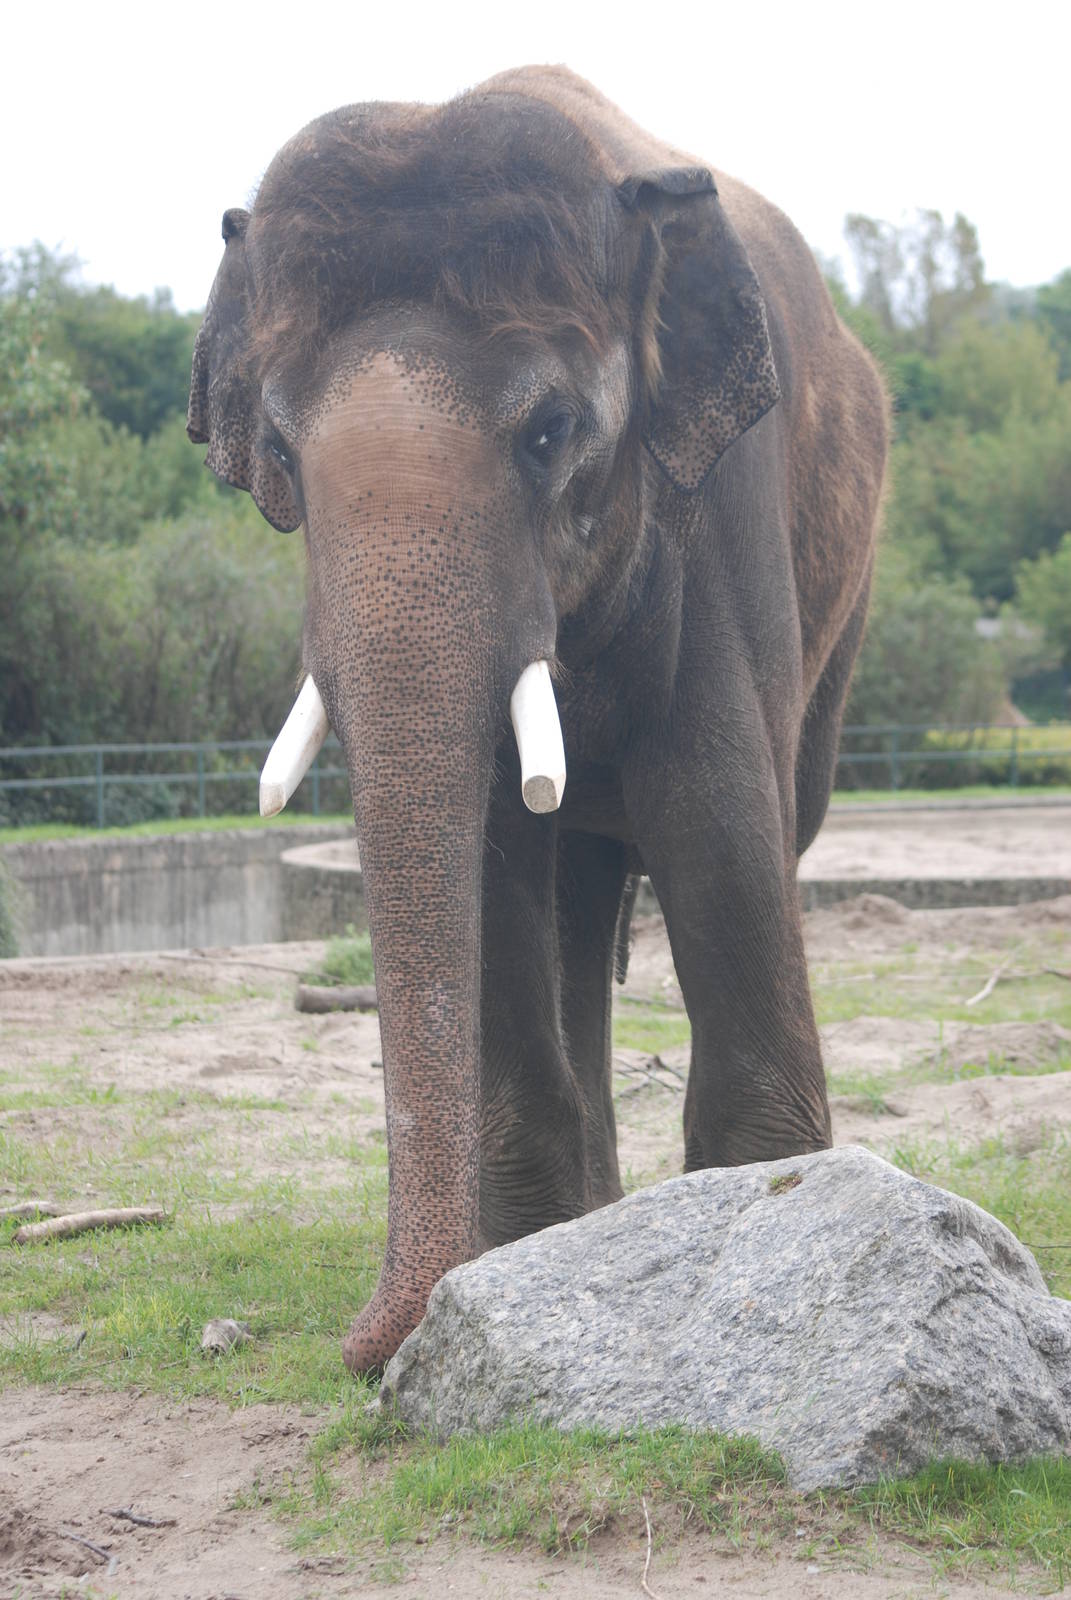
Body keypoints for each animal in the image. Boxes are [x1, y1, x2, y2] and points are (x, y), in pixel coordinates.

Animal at [187, 65, 888, 1375]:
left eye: (550, 432)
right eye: (280, 455)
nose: (359, 1349)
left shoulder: (717, 507)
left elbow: (719, 820)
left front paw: (764, 1213)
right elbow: (499, 855)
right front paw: (522, 1263)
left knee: (769, 820)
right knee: (571, 889)